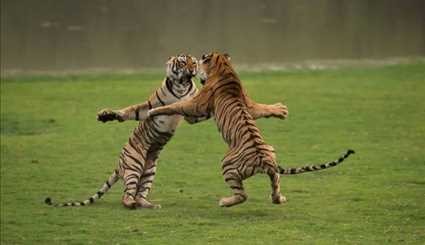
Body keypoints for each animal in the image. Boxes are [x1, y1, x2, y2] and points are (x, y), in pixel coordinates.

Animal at [45, 53, 288, 209]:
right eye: (182, 61)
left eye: (193, 61)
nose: (192, 66)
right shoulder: (195, 108)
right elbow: (136, 110)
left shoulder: (195, 109)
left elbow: (173, 106)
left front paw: (280, 109)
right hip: (138, 165)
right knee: (130, 193)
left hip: (168, 168)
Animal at [147, 51, 352, 207]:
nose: (195, 70)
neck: (224, 68)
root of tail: (265, 161)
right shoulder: (250, 105)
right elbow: (262, 108)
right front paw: (281, 110)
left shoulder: (197, 105)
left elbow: (175, 106)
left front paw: (153, 111)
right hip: (272, 160)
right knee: (275, 185)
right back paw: (279, 198)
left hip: (227, 164)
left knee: (242, 195)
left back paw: (224, 202)